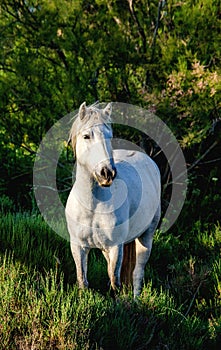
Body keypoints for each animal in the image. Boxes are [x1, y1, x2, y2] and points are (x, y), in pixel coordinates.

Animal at [65, 102, 161, 298]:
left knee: (137, 272)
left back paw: (136, 300)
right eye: (86, 136)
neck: (92, 206)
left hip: (146, 236)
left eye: (109, 136)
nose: (107, 173)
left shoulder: (116, 246)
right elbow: (83, 280)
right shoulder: (78, 246)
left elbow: (115, 281)